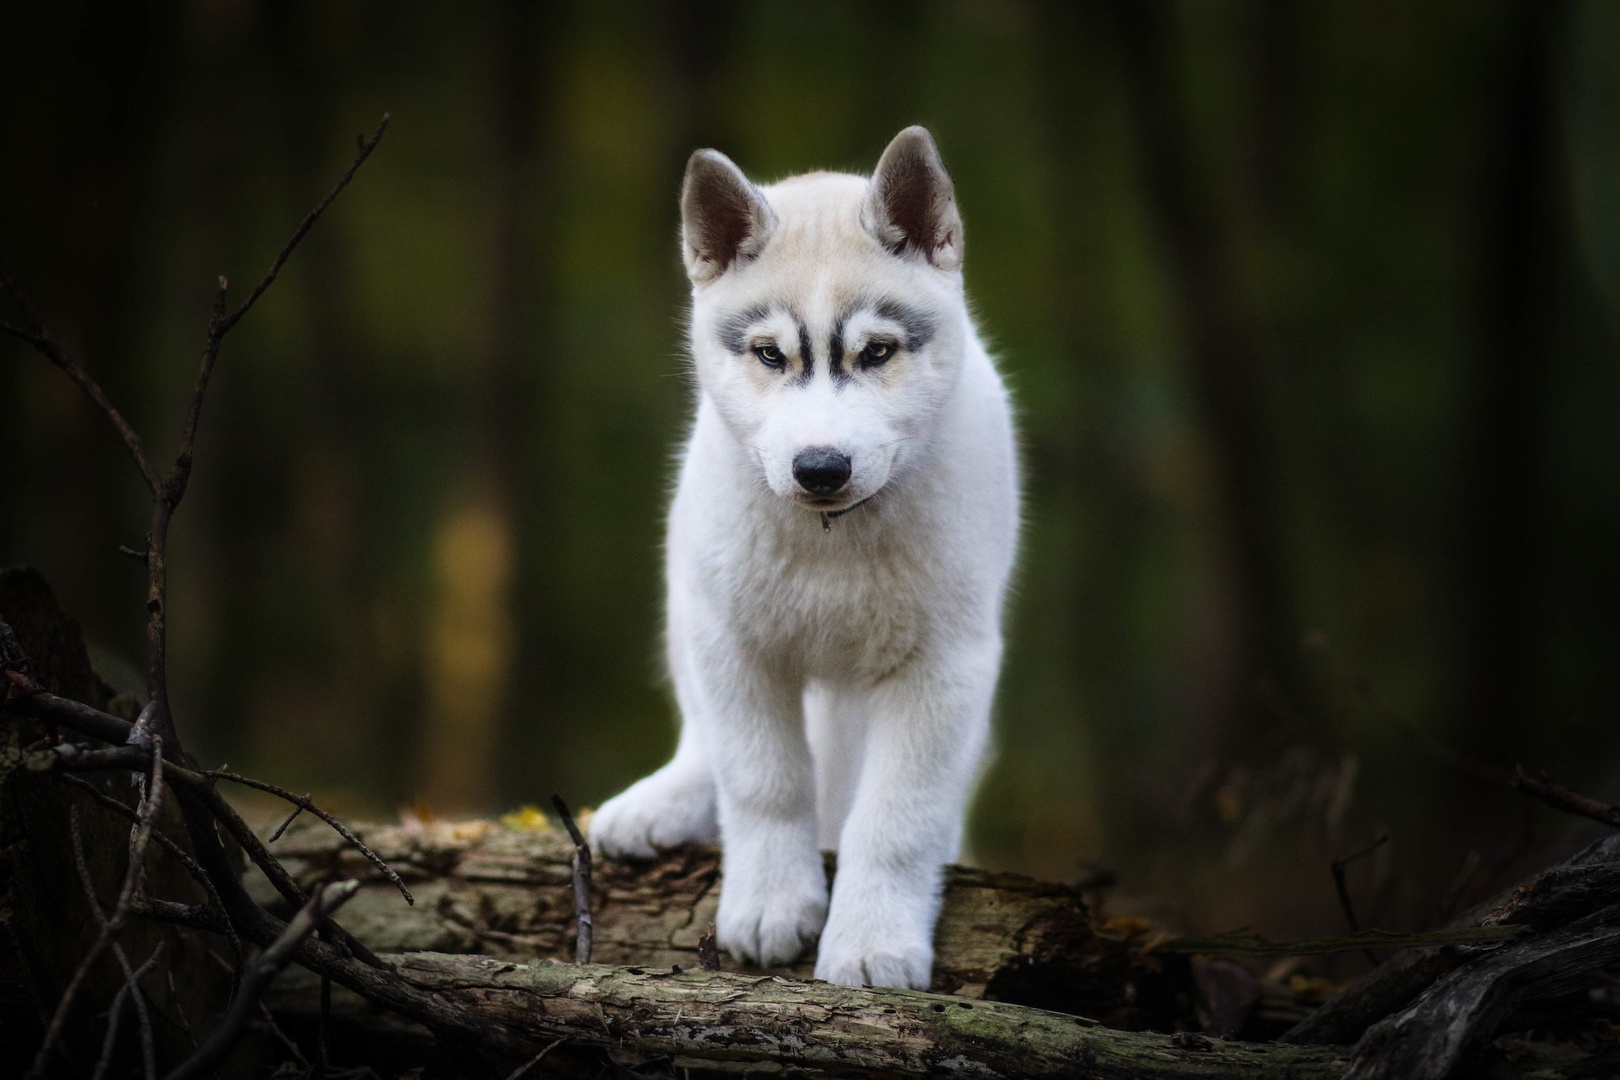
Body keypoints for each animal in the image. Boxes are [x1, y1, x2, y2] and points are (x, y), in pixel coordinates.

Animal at [590, 126, 1019, 990]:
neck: (834, 542)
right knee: (704, 736)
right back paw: (666, 800)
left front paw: (872, 944)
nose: (820, 468)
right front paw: (769, 906)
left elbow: (896, 816)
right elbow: (766, 781)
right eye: (768, 355)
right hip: (687, 593)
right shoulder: (734, 645)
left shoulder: (942, 669)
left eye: (878, 352)